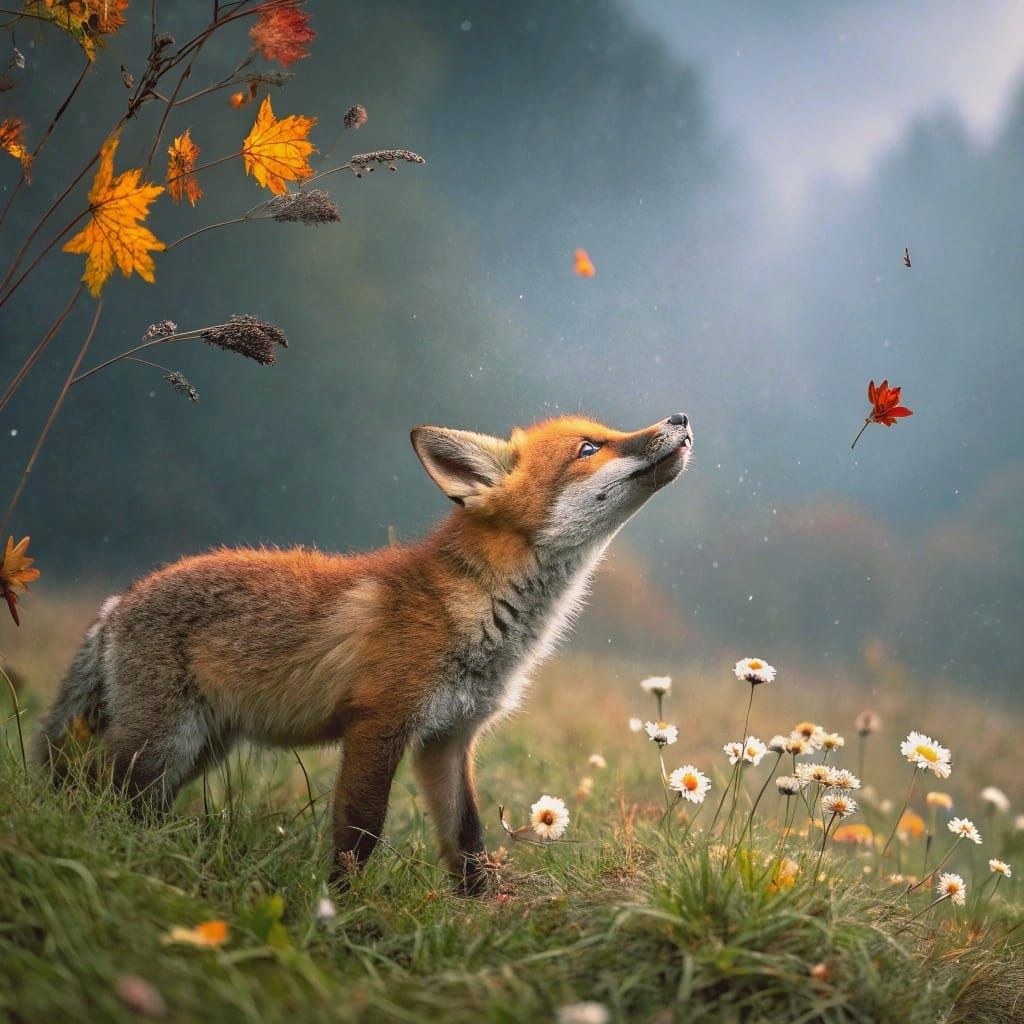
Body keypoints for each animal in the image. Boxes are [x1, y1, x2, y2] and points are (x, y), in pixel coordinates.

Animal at [36, 411, 692, 892]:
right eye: (589, 448)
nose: (680, 416)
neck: (481, 616)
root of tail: (117, 603)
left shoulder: (447, 740)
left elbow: (468, 841)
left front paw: (481, 912)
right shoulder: (379, 723)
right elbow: (361, 833)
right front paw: (341, 909)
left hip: (197, 750)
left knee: (128, 804)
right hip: (159, 746)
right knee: (92, 793)